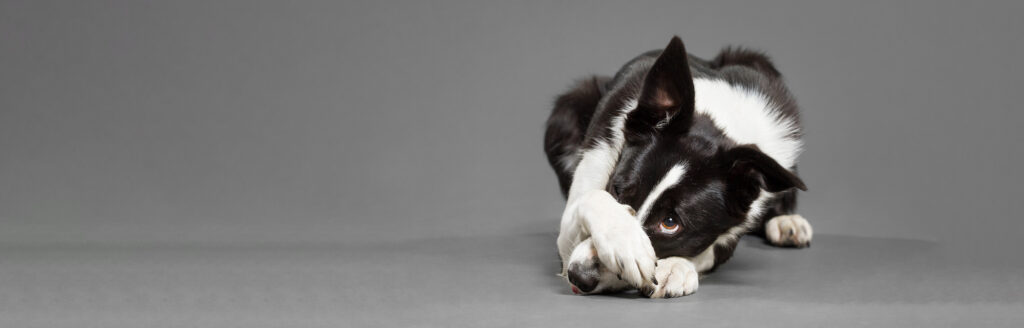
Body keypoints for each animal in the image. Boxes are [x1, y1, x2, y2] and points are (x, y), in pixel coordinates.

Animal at [540, 35, 811, 297]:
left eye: (670, 223)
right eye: (617, 190)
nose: (578, 276)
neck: (721, 120)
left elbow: (708, 250)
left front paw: (675, 267)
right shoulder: (567, 236)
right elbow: (591, 198)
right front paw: (627, 242)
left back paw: (786, 221)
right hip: (568, 108)